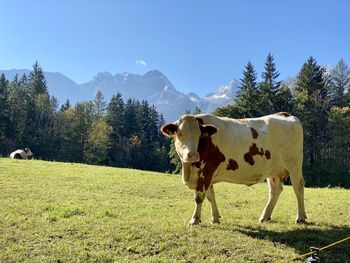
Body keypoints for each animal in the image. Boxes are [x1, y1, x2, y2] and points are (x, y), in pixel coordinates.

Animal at [161, 112, 306, 226]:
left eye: (199, 135)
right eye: (180, 134)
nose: (193, 155)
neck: (188, 169)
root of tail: (285, 115)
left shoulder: (206, 171)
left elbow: (199, 197)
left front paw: (195, 220)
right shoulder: (207, 175)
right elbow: (210, 195)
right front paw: (215, 218)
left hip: (294, 164)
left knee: (298, 187)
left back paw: (300, 217)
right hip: (273, 170)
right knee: (275, 190)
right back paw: (264, 216)